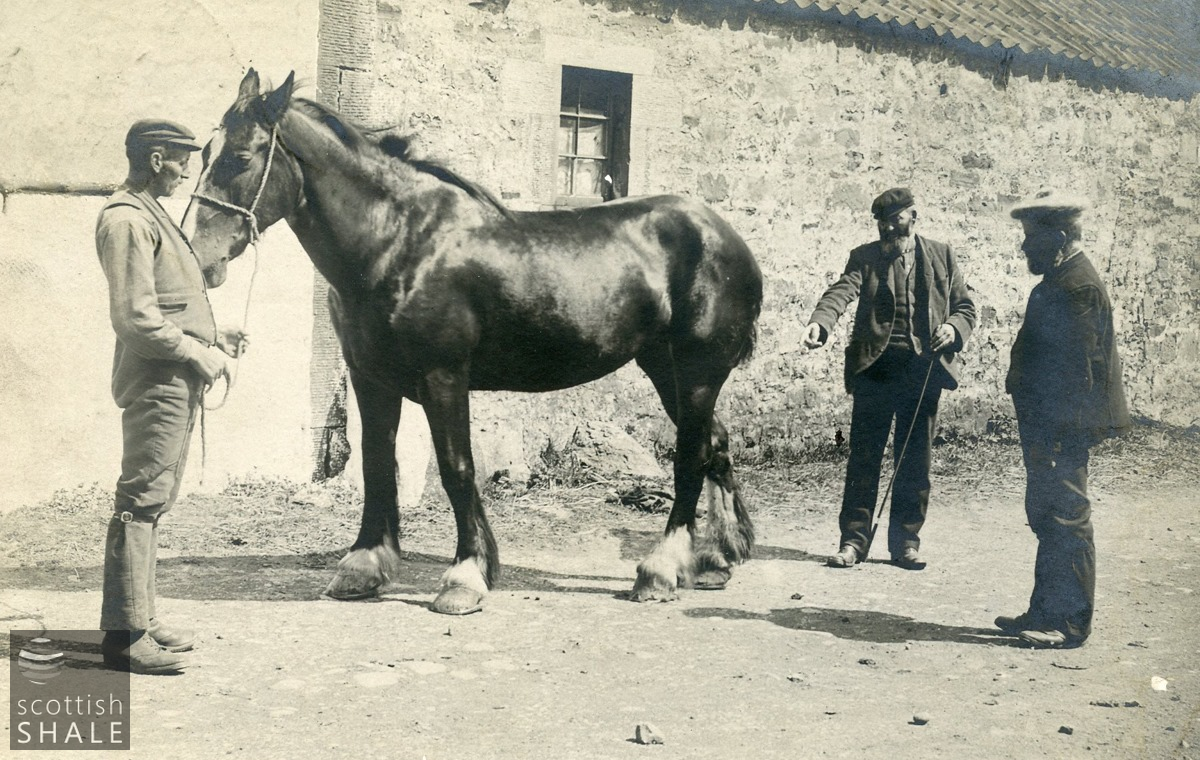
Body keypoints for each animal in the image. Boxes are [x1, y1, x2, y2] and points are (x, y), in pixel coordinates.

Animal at [184, 69, 763, 615]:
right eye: (205, 153)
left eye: (240, 157)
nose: (199, 256)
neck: (399, 243)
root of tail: (725, 236)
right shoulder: (370, 377)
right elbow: (376, 463)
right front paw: (364, 566)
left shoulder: (444, 377)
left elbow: (456, 468)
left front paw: (466, 577)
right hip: (664, 366)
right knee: (714, 443)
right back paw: (714, 560)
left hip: (698, 370)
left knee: (691, 454)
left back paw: (661, 570)